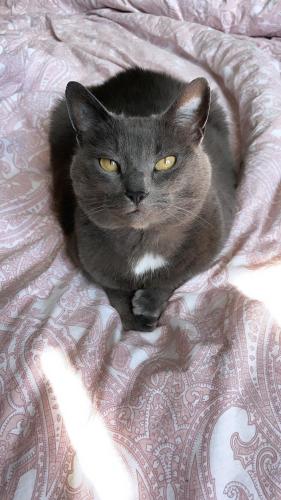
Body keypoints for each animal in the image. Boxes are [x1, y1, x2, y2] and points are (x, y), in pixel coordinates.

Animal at [49, 67, 235, 332]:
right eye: (108, 163)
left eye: (166, 161)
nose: (137, 192)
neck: (143, 241)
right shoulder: (84, 252)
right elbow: (114, 289)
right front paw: (133, 320)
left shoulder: (213, 237)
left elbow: (176, 276)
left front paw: (147, 305)